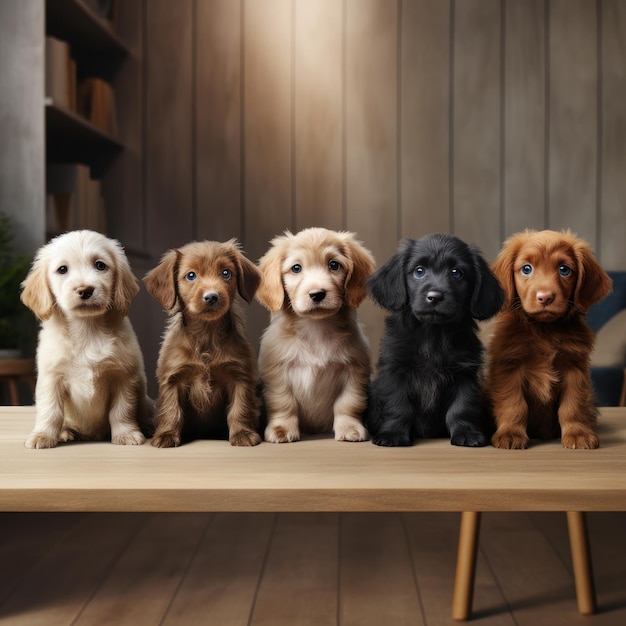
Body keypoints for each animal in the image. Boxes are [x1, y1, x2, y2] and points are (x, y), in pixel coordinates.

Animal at [20, 232, 152, 446]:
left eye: (100, 265)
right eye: (62, 269)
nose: (85, 290)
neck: (87, 329)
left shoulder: (123, 376)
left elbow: (121, 411)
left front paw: (126, 434)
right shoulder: (51, 378)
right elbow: (50, 411)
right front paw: (43, 435)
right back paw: (65, 432)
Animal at [144, 236, 260, 446]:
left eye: (226, 273)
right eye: (191, 275)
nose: (212, 296)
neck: (207, 333)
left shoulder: (239, 376)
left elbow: (240, 409)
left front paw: (242, 433)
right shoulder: (173, 379)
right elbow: (171, 410)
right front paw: (166, 435)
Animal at [255, 227, 372, 442]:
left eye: (334, 265)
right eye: (296, 268)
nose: (317, 294)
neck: (316, 328)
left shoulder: (355, 371)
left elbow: (348, 403)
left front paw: (349, 428)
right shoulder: (277, 373)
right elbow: (283, 402)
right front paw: (282, 428)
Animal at [366, 233, 502, 444]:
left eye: (457, 273)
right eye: (419, 271)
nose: (435, 296)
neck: (433, 335)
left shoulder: (465, 373)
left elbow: (461, 407)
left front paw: (466, 433)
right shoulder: (395, 370)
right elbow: (398, 406)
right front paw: (393, 434)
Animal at [482, 229, 608, 448]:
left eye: (564, 269)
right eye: (526, 269)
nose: (545, 297)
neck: (544, 331)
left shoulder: (573, 367)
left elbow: (572, 406)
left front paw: (577, 434)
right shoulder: (509, 367)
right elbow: (514, 404)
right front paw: (510, 434)